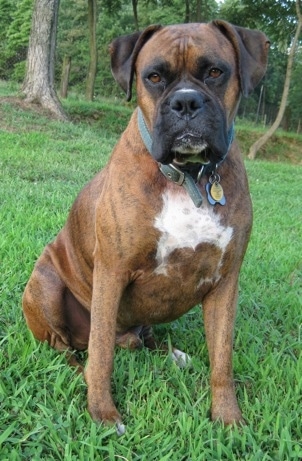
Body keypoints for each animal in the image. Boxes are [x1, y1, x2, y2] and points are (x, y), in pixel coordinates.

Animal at [23, 20, 268, 432]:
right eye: (153, 77)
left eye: (215, 72)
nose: (185, 102)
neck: (188, 176)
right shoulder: (111, 272)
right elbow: (101, 354)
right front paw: (103, 413)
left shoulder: (226, 281)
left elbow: (222, 359)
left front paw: (228, 419)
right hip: (45, 284)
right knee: (67, 347)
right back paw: (78, 369)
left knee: (140, 338)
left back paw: (171, 353)